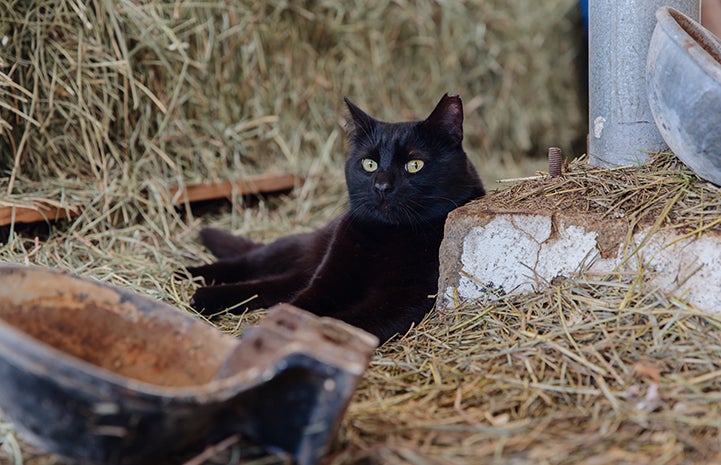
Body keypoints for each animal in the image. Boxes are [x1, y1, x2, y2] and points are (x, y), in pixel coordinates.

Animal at [190, 94, 484, 340]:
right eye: (369, 164)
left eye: (414, 165)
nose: (381, 186)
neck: (388, 237)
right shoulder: (330, 280)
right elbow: (303, 303)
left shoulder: (403, 299)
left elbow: (343, 322)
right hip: (297, 249)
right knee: (251, 263)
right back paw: (190, 279)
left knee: (270, 286)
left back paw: (202, 296)